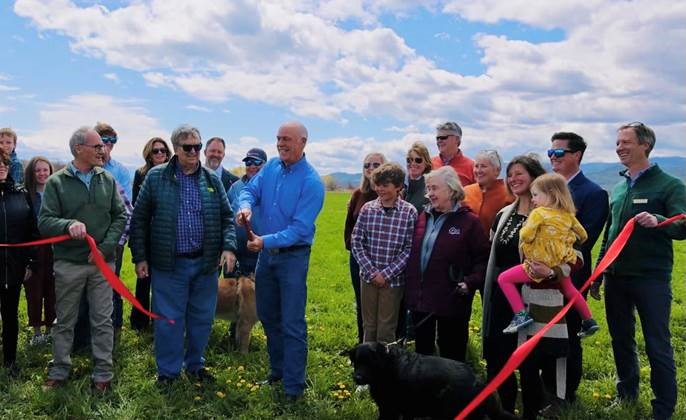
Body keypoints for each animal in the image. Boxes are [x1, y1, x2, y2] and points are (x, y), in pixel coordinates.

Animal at [342, 342, 520, 418]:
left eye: (369, 362)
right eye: (356, 361)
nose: (357, 378)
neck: (387, 366)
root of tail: (481, 383)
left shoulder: (390, 408)